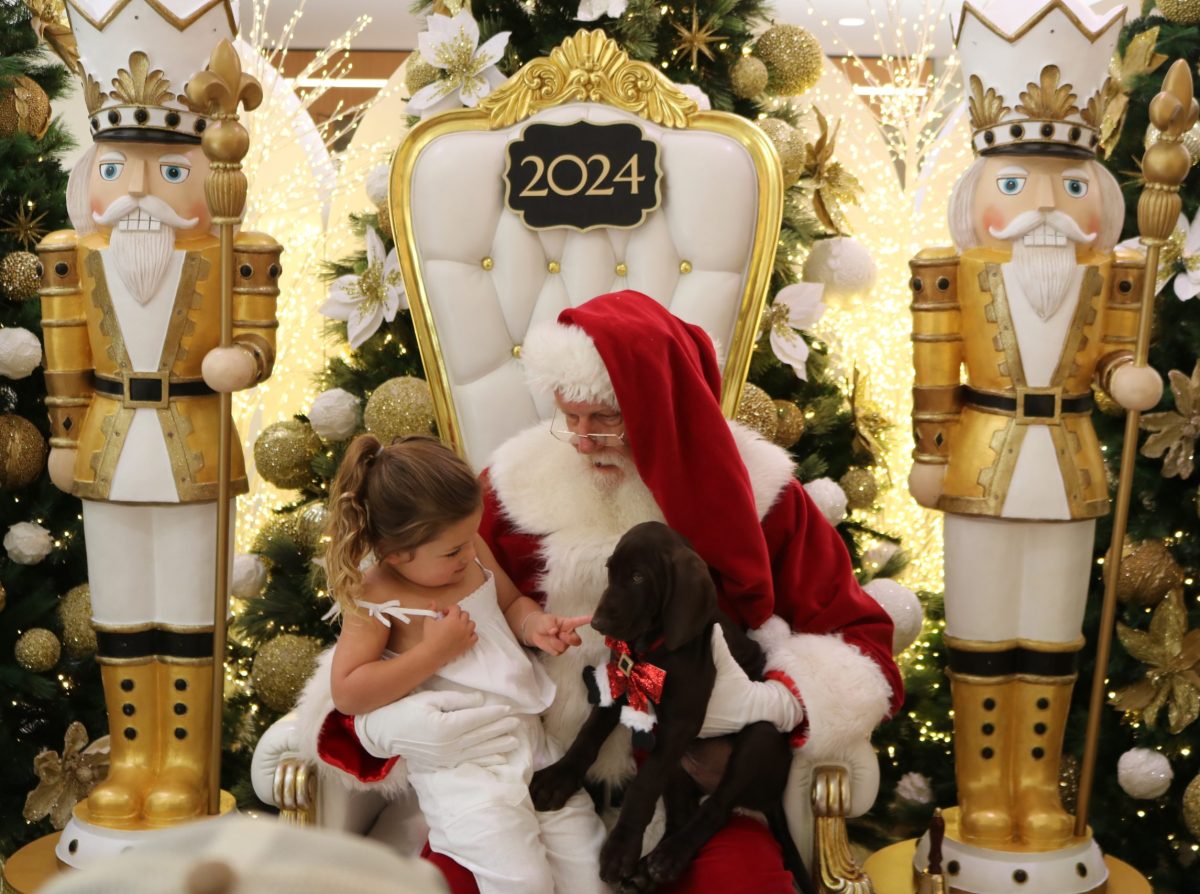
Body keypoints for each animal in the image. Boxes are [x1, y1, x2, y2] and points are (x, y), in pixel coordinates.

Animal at [530, 520, 811, 888]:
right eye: (610, 571)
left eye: (638, 577)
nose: (597, 624)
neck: (652, 647)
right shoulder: (618, 686)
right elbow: (587, 737)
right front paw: (557, 779)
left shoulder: (680, 722)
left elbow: (642, 787)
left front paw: (620, 850)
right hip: (678, 768)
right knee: (682, 814)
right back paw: (648, 872)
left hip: (758, 739)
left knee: (716, 809)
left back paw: (668, 858)